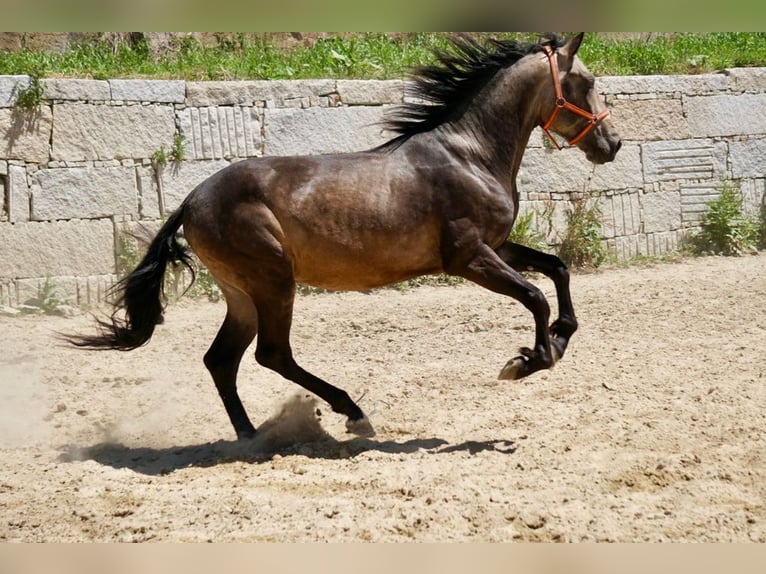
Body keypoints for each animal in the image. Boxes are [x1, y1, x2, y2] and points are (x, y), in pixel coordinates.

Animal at [69, 33, 624, 440]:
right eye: (587, 80)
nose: (613, 143)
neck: (470, 155)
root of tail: (190, 200)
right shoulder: (469, 257)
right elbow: (534, 296)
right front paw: (530, 360)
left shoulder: (498, 245)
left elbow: (557, 269)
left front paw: (559, 340)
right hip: (273, 281)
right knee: (271, 354)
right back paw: (351, 413)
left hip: (241, 292)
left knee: (222, 360)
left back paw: (251, 437)